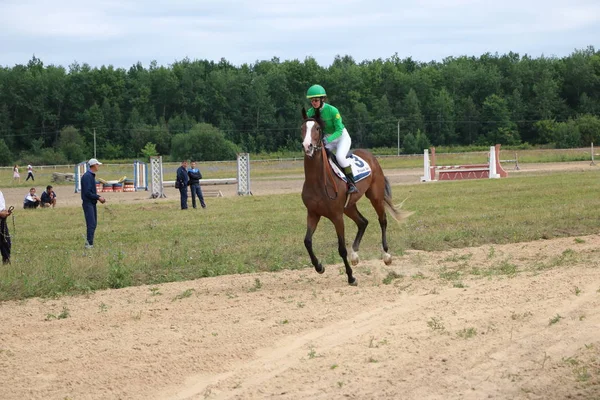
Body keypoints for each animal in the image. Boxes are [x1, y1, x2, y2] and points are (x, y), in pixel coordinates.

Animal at [300, 108, 412, 286]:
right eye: (302, 128)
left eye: (317, 128)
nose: (307, 146)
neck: (317, 181)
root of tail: (370, 155)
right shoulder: (313, 213)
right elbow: (307, 242)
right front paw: (319, 266)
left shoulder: (337, 216)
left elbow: (341, 248)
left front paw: (351, 277)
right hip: (349, 206)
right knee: (363, 222)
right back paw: (355, 255)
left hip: (375, 196)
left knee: (382, 220)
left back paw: (386, 255)